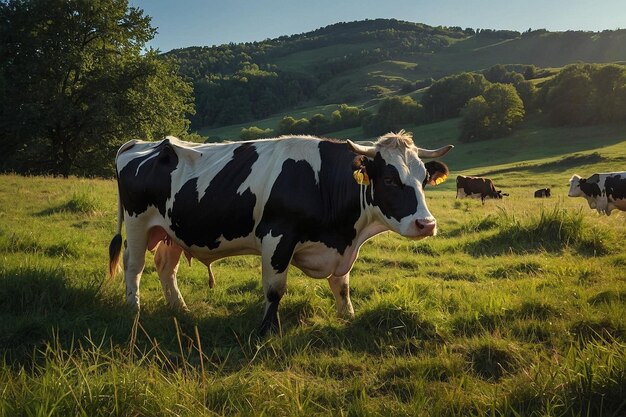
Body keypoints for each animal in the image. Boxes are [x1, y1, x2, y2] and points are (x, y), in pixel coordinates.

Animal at [109, 132, 450, 334]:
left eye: (423, 178)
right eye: (390, 180)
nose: (426, 224)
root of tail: (143, 143)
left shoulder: (341, 249)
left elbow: (342, 287)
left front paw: (348, 318)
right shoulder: (277, 236)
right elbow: (275, 289)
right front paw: (266, 331)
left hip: (173, 230)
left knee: (166, 268)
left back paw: (180, 308)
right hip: (138, 222)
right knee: (134, 266)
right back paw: (133, 309)